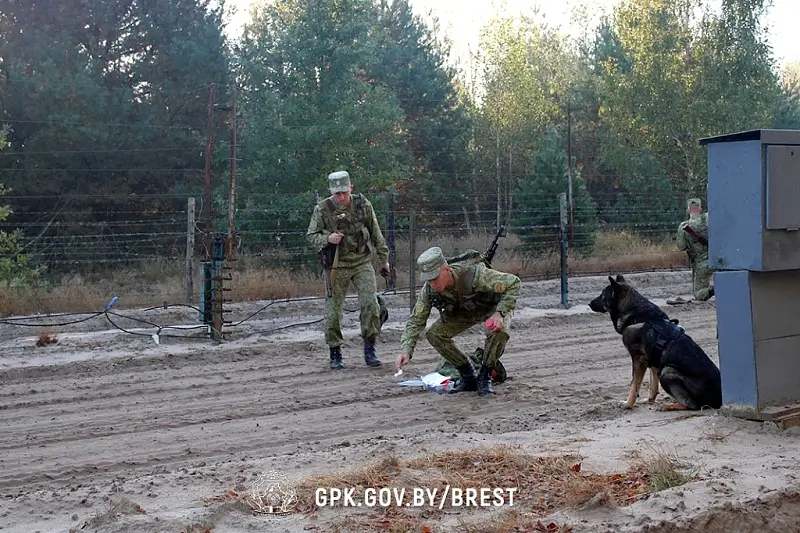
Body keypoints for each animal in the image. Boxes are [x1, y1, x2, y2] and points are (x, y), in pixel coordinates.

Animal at [588, 274, 724, 412]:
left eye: (602, 295)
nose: (589, 303)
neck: (636, 314)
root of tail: (719, 401)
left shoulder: (639, 360)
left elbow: (634, 385)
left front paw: (628, 404)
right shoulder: (653, 359)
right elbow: (653, 383)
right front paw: (650, 399)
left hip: (667, 370)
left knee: (691, 405)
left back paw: (668, 406)